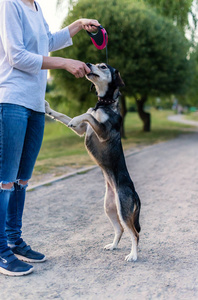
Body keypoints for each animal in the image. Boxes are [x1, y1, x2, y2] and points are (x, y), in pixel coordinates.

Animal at [44, 62, 141, 260]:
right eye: (95, 64)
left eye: (103, 66)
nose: (87, 64)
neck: (104, 105)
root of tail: (134, 192)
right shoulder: (83, 130)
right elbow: (64, 115)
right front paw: (47, 108)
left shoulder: (103, 131)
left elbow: (86, 115)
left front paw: (75, 118)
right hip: (109, 208)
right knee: (120, 229)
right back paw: (113, 246)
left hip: (124, 210)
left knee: (134, 234)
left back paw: (133, 255)